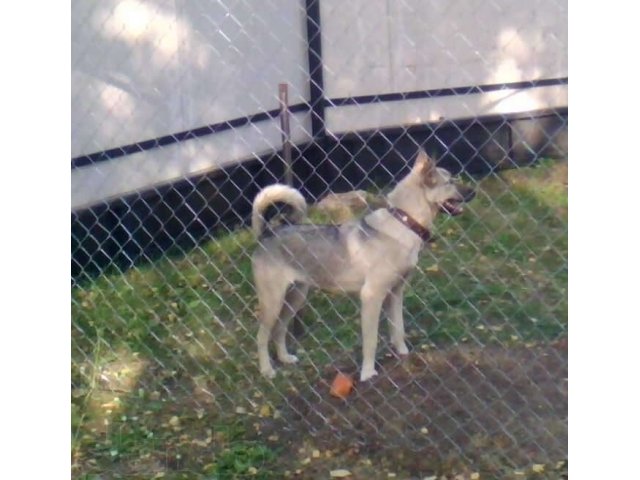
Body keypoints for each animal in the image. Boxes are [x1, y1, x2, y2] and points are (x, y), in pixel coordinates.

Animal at [250, 150, 476, 382]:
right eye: (450, 182)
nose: (474, 192)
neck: (403, 221)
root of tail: (267, 233)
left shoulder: (396, 293)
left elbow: (398, 330)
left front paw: (403, 355)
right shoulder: (371, 296)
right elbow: (371, 341)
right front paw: (368, 373)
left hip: (295, 297)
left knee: (279, 330)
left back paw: (285, 358)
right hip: (273, 301)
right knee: (261, 336)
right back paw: (267, 370)